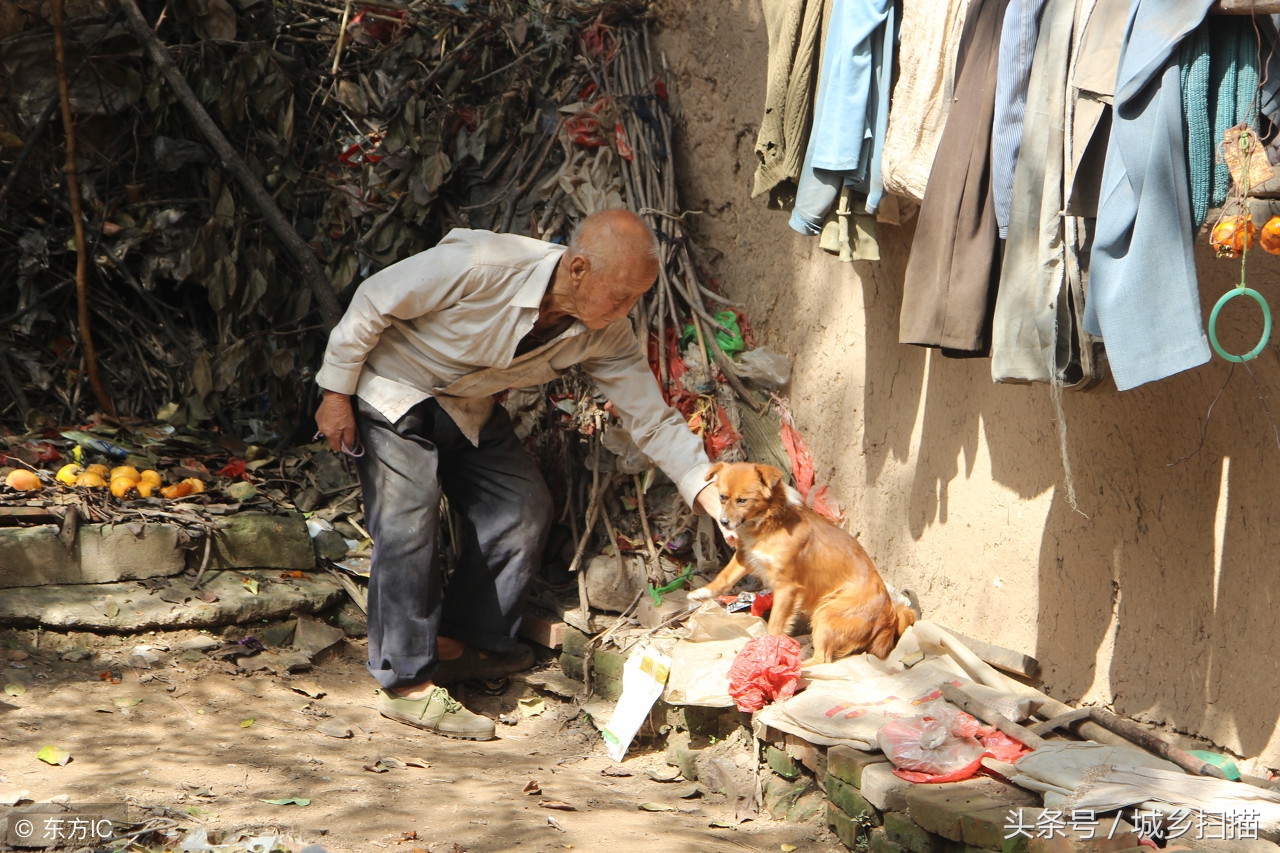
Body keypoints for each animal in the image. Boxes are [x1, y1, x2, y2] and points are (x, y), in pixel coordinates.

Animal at [696, 461, 916, 660]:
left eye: (742, 500)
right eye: (722, 497)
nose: (723, 522)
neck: (768, 525)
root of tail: (889, 614)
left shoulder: (787, 588)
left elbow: (775, 624)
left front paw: (769, 649)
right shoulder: (746, 556)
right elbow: (725, 576)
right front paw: (703, 592)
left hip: (826, 614)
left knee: (823, 659)